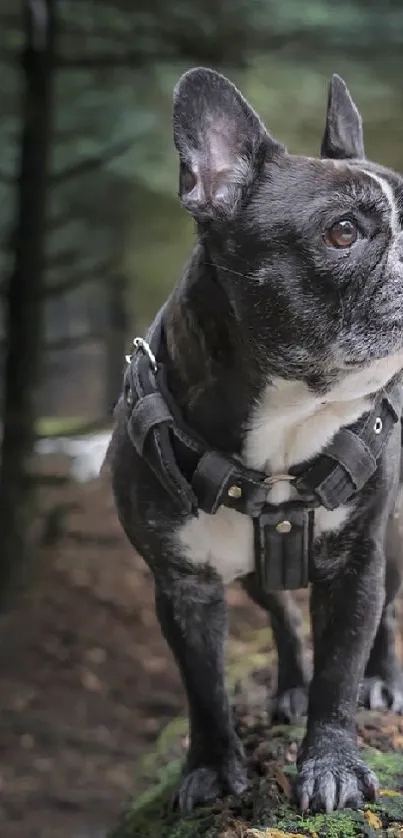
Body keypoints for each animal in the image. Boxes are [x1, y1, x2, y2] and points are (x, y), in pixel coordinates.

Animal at [105, 69, 403, 816]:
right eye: (343, 232)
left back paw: (381, 680)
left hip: (390, 541)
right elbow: (204, 688)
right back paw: (289, 685)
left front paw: (331, 764)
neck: (289, 421)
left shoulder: (357, 562)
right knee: (283, 614)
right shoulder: (182, 586)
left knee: (386, 614)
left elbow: (339, 672)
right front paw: (212, 767)